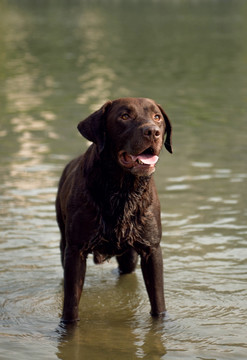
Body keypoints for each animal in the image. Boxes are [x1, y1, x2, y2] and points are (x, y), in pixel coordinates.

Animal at [55, 97, 172, 322]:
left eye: (157, 117)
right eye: (124, 116)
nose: (153, 132)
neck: (123, 191)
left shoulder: (151, 249)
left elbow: (158, 304)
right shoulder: (75, 251)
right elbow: (71, 307)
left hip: (129, 256)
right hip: (64, 241)